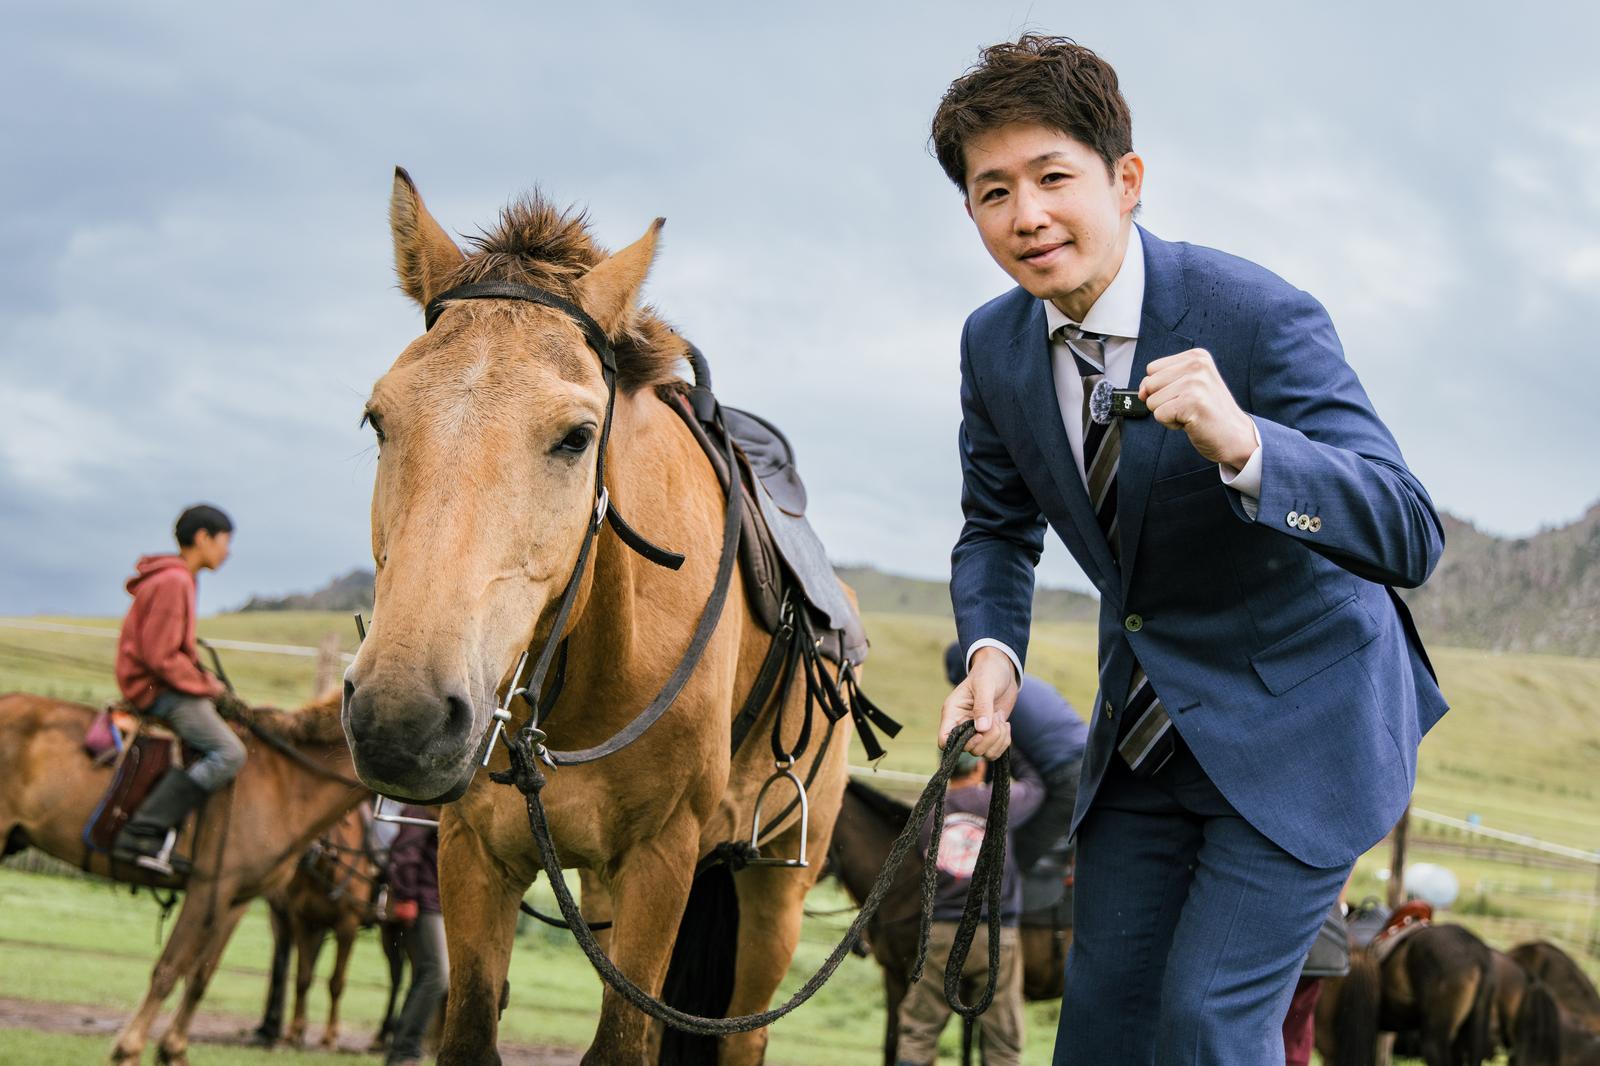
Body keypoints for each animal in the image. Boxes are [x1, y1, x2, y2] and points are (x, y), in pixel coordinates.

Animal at [0, 689, 365, 1065]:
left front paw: (173, 1049)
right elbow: (169, 969)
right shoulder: (208, 888)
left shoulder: (236, 900)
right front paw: (128, 1049)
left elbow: (201, 975)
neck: (287, 783)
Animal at [340, 169, 856, 1065]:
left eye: (578, 437)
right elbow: (468, 1031)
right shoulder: (472, 849)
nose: (401, 718)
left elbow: (623, 1043)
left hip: (773, 887)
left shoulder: (663, 860)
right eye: (379, 419)